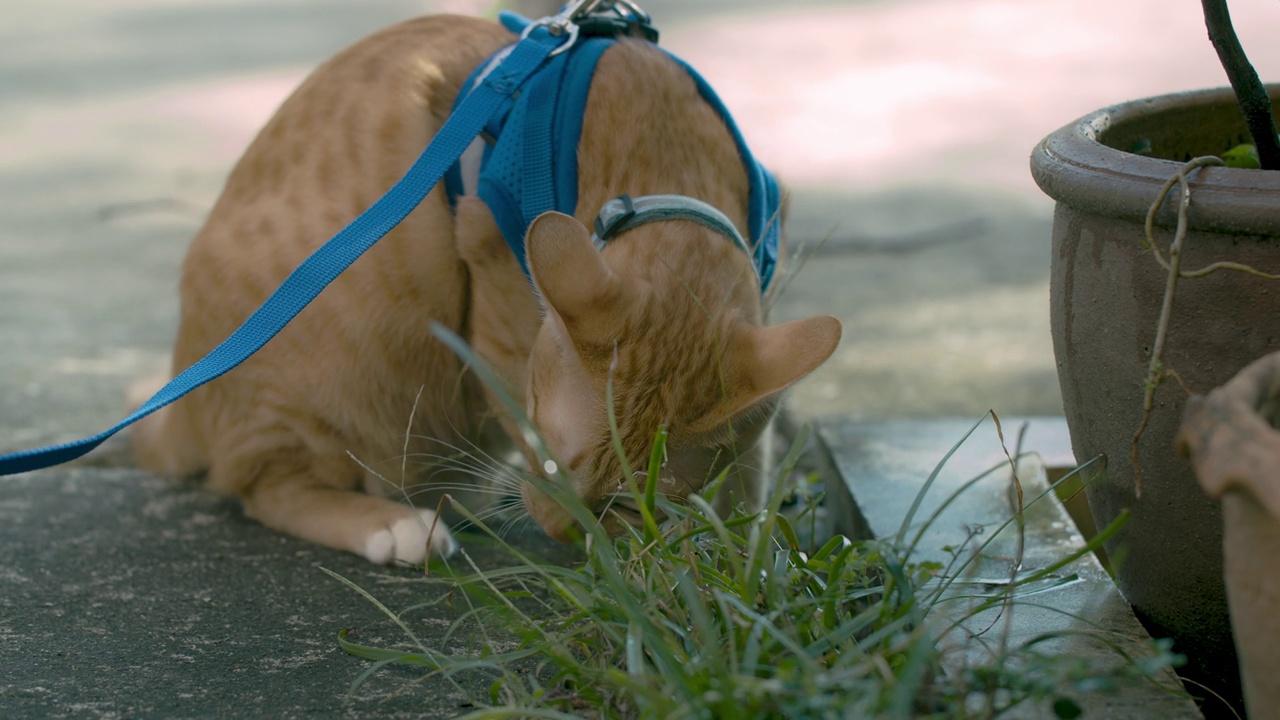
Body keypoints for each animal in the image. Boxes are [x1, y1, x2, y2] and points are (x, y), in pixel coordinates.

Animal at [127, 12, 839, 561]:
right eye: (546, 457)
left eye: (625, 501)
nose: (562, 529)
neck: (662, 171)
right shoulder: (499, 319)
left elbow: (747, 470)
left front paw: (734, 561)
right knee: (263, 486)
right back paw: (398, 524)